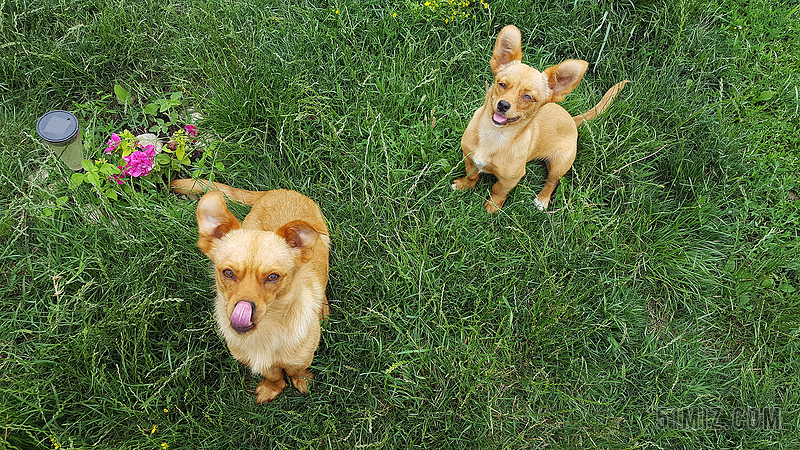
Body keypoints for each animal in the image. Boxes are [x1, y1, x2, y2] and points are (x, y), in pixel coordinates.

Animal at [170, 178, 330, 404]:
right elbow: (273, 375)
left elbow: (296, 370)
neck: (266, 333)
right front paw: (272, 388)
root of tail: (278, 191)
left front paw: (303, 381)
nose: (243, 309)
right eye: (228, 273)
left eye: (273, 277)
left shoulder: (303, 357)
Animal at [450, 24, 632, 213]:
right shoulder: (469, 158)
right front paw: (464, 186)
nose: (503, 105)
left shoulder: (510, 179)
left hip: (560, 164)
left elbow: (498, 190)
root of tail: (572, 119)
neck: (493, 135)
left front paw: (493, 206)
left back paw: (542, 200)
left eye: (528, 97)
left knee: (552, 182)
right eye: (502, 84)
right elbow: (472, 175)